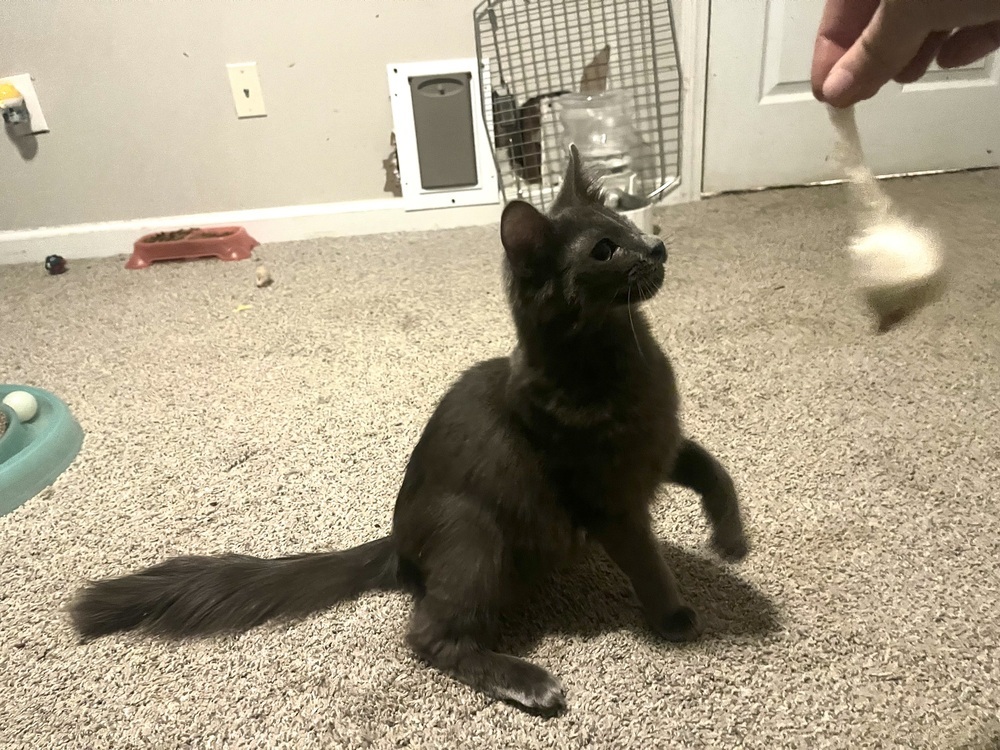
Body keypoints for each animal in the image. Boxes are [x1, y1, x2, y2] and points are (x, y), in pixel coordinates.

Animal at [66, 144, 748, 720]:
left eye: (629, 226)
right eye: (605, 251)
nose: (656, 247)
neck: (625, 358)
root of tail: (397, 544)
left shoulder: (661, 444)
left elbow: (714, 468)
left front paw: (731, 539)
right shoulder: (611, 501)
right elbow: (648, 562)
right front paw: (676, 617)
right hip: (476, 536)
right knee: (429, 636)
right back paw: (528, 682)